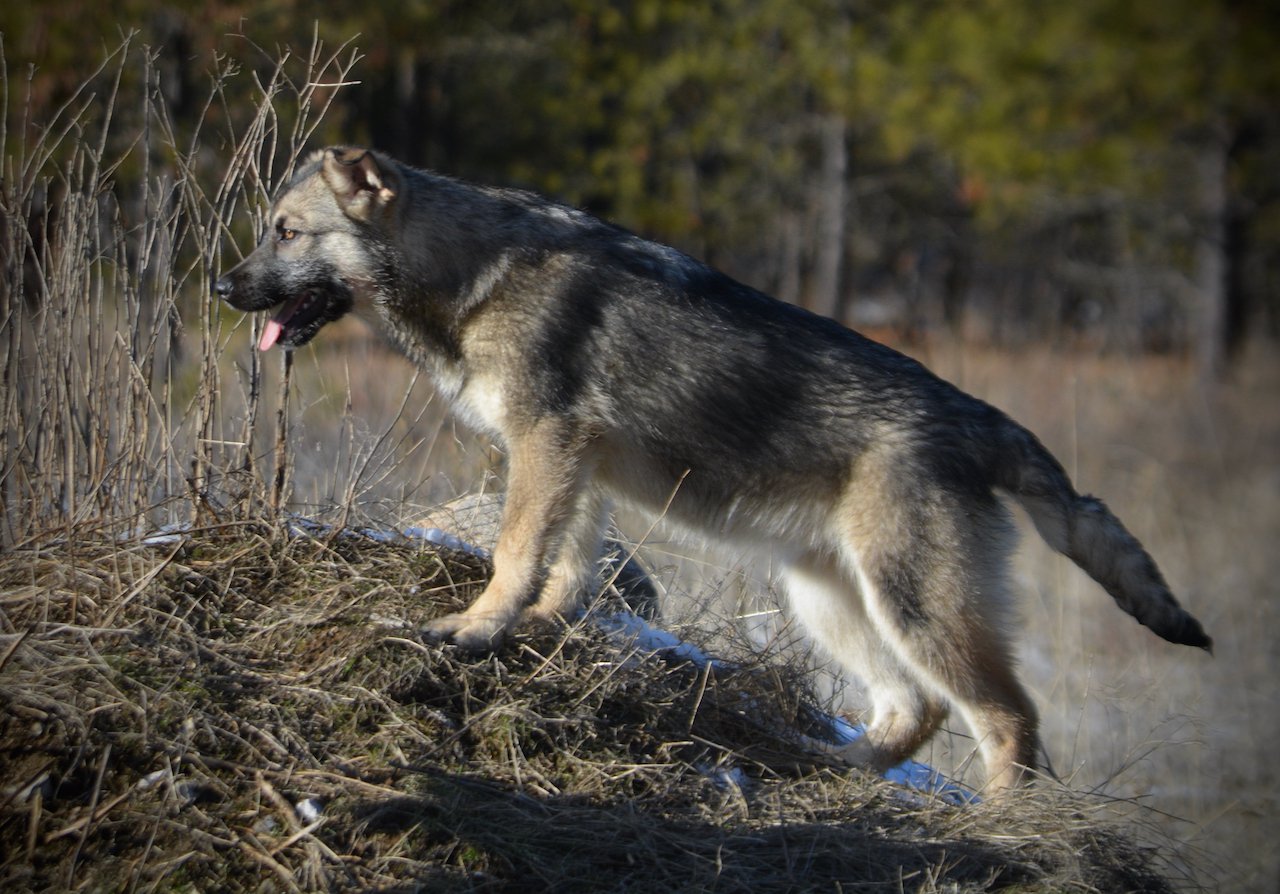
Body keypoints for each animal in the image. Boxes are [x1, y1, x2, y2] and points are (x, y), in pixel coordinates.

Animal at [212, 147, 1208, 794]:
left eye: (287, 233)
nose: (223, 287)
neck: (475, 272)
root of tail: (985, 418)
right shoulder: (572, 467)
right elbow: (563, 572)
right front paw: (538, 631)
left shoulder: (546, 446)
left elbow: (513, 555)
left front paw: (476, 630)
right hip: (830, 600)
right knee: (912, 712)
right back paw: (831, 771)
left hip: (913, 607)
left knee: (1009, 722)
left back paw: (993, 830)